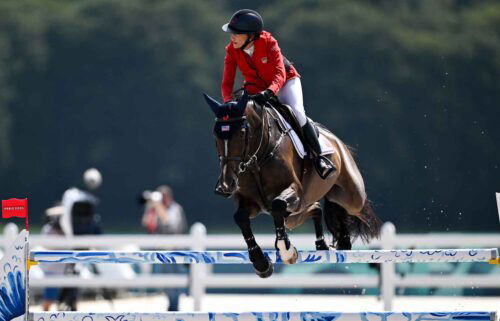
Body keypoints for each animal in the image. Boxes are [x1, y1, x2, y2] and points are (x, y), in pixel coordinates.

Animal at [202, 91, 378, 276]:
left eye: (242, 133)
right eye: (215, 134)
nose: (226, 185)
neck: (257, 158)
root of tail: (336, 140)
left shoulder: (295, 191)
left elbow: (278, 204)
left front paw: (286, 250)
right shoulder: (252, 203)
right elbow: (241, 217)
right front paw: (260, 262)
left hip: (351, 197)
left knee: (345, 205)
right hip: (298, 212)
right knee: (316, 208)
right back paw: (325, 244)